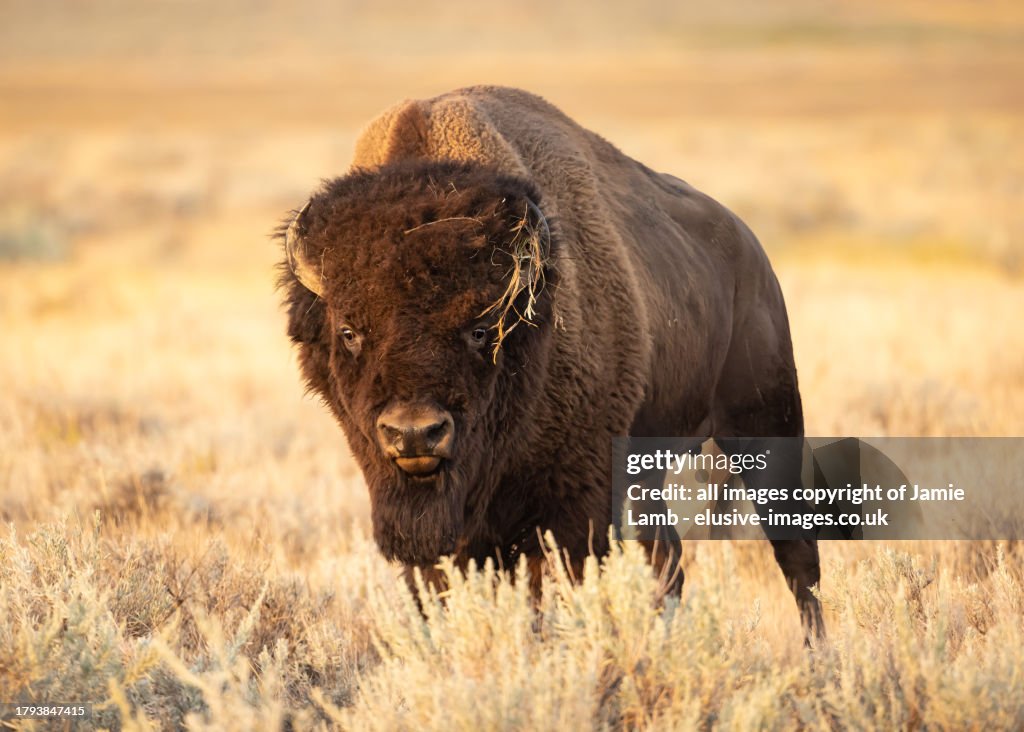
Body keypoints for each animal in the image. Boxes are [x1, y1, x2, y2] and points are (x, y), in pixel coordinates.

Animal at [279, 85, 823, 638]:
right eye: (349, 332)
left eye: (482, 329)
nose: (415, 434)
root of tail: (751, 252)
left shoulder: (566, 510)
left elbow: (547, 598)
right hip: (646, 469)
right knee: (666, 560)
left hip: (765, 425)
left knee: (797, 555)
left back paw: (817, 652)